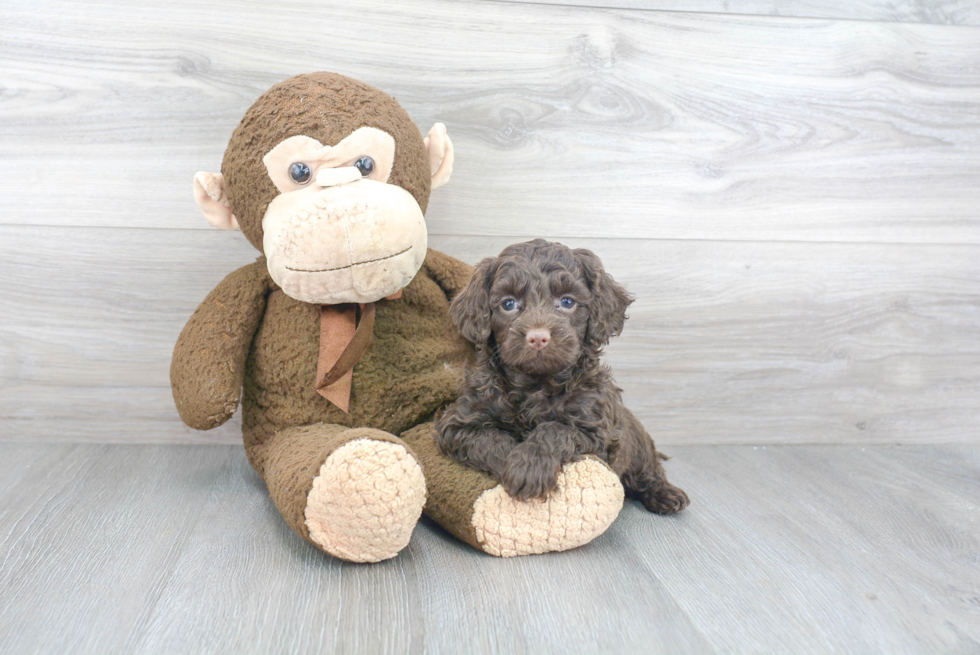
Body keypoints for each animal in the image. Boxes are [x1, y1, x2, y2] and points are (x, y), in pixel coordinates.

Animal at [436, 238, 688, 516]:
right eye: (509, 304)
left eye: (567, 302)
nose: (538, 337)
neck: (535, 384)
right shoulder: (458, 424)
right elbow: (492, 439)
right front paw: (518, 465)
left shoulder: (597, 433)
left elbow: (555, 429)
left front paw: (529, 466)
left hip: (640, 447)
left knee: (648, 471)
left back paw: (666, 494)